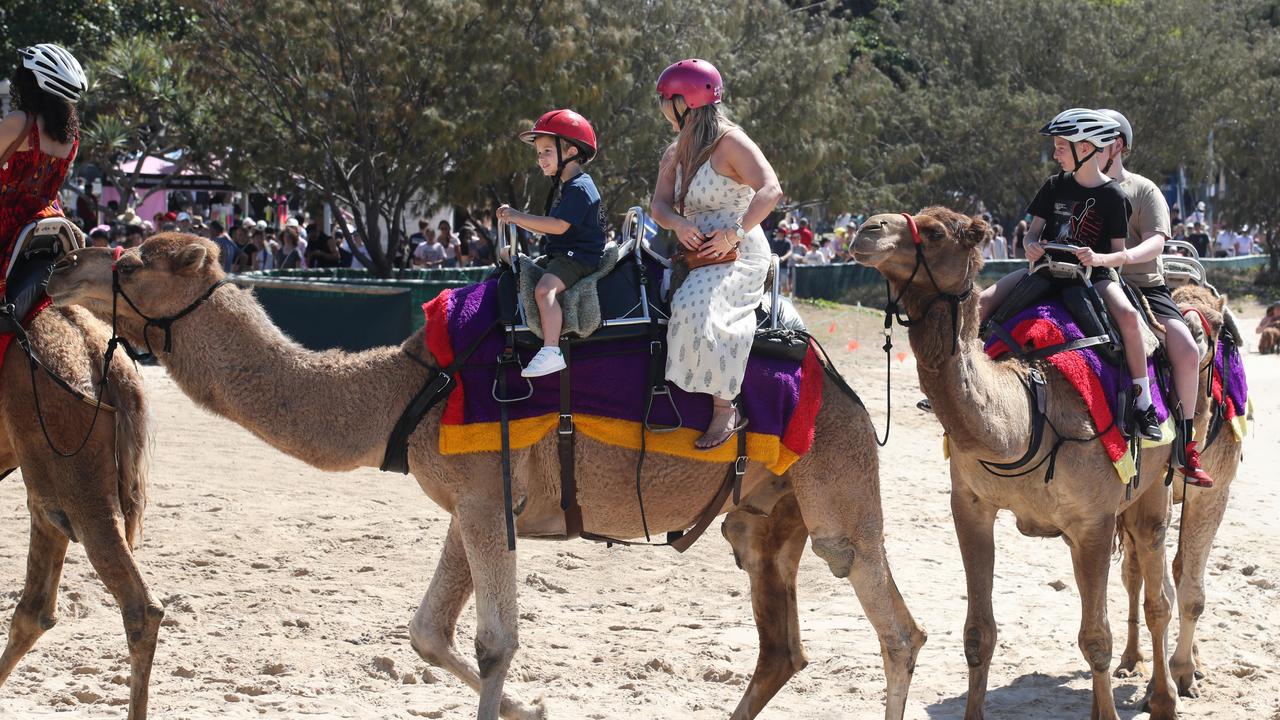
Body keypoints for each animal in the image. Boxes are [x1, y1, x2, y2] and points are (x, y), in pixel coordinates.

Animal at [47, 234, 931, 717]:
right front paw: (534, 707)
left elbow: (494, 640)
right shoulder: (468, 504)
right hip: (765, 516)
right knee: (782, 645)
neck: (403, 388)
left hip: (837, 488)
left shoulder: (483, 497)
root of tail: (839, 380)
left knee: (895, 625)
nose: (56, 266)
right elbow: (427, 631)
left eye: (134, 261)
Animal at [855, 207, 1182, 717]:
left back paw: (1164, 696)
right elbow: (978, 633)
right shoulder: (970, 504)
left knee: (1158, 592)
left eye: (935, 232)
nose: (866, 229)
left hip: (1153, 488)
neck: (1031, 408)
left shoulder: (1093, 519)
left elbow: (1097, 640)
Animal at [1116, 284, 1244, 696]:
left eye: (1219, 323)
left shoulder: (1214, 491)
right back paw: (1130, 660)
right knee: (1132, 574)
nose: (1194, 333)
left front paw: (1186, 671)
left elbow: (1190, 584)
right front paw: (1175, 673)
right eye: (1169, 305)